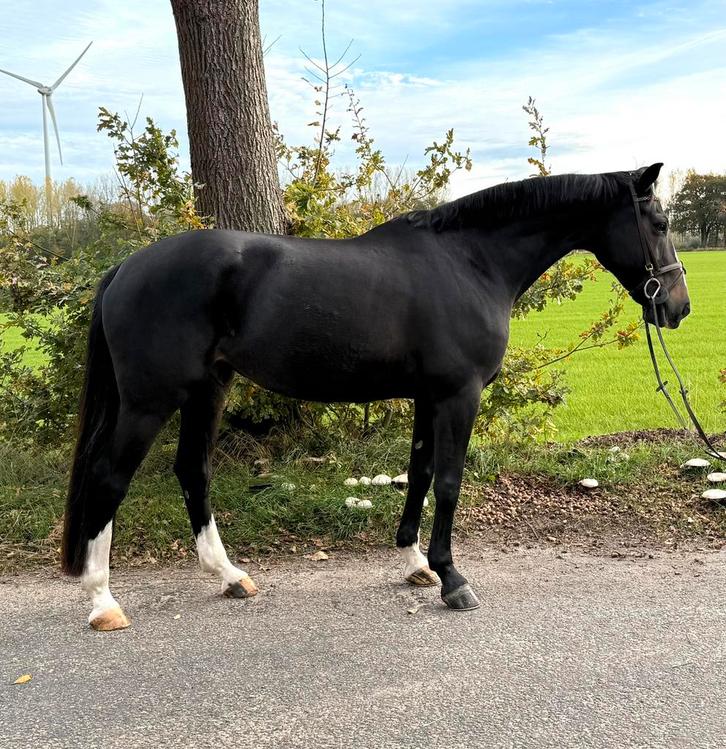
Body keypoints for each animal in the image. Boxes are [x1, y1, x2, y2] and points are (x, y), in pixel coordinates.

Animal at [61, 162, 689, 630]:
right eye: (658, 220)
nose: (678, 307)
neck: (469, 262)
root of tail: (124, 268)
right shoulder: (457, 396)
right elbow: (450, 481)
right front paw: (453, 580)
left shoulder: (428, 397)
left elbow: (420, 472)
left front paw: (415, 563)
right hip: (149, 401)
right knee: (109, 478)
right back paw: (103, 600)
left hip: (207, 390)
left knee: (193, 470)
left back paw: (230, 576)